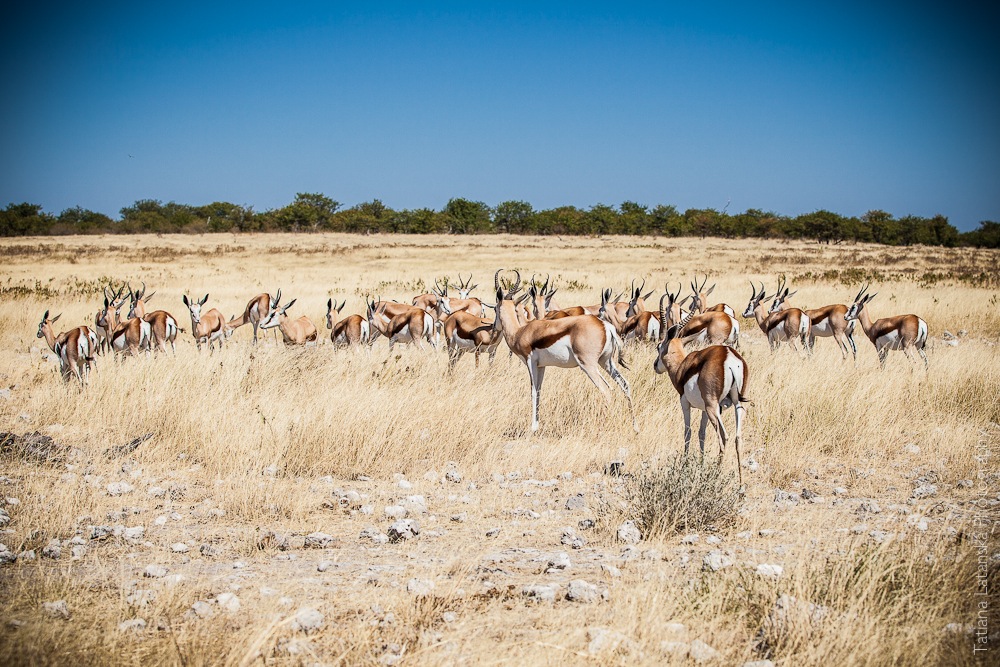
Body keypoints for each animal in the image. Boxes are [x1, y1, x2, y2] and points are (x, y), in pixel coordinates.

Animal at [488, 270, 636, 434]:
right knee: (625, 384)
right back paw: (634, 426)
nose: (494, 326)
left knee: (607, 390)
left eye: (494, 308)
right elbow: (539, 391)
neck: (520, 331)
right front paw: (537, 426)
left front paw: (532, 428)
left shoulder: (530, 362)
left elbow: (533, 391)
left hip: (588, 365)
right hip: (606, 362)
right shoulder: (541, 366)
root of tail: (605, 326)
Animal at [652, 306, 748, 482]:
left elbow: (688, 432)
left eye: (658, 346)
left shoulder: (685, 403)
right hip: (736, 405)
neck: (682, 367)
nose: (655, 365)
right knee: (738, 438)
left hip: (713, 408)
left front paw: (685, 464)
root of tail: (729, 356)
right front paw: (701, 464)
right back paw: (741, 484)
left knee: (724, 437)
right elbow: (701, 433)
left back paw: (715, 476)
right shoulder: (703, 410)